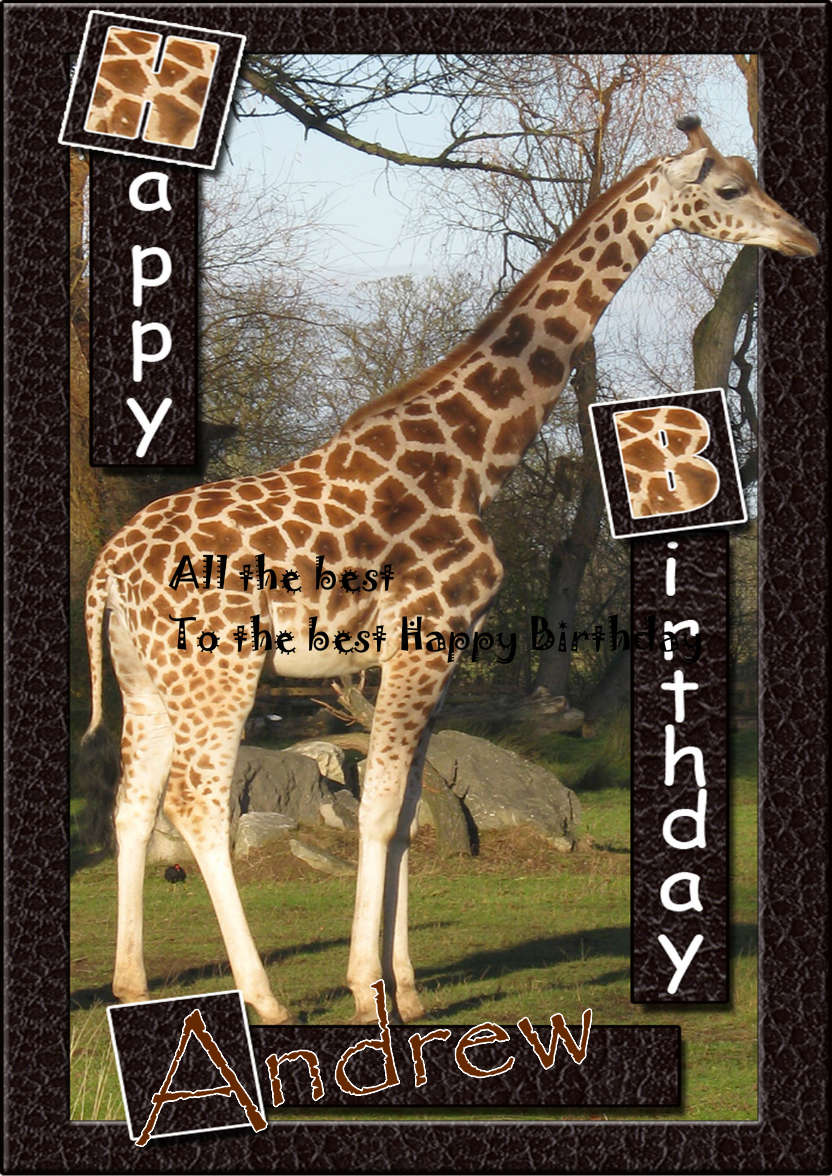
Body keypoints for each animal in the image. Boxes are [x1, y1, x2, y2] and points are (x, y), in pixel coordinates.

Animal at [81, 117, 818, 1024]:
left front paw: (408, 988)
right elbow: (375, 813)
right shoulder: (424, 637)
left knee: (132, 804)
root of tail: (106, 570)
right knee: (199, 805)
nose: (803, 238)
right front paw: (367, 990)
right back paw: (266, 1000)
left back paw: (131, 984)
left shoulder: (441, 651)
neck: (474, 459)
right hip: (216, 672)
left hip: (146, 676)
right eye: (728, 188)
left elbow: (404, 818)